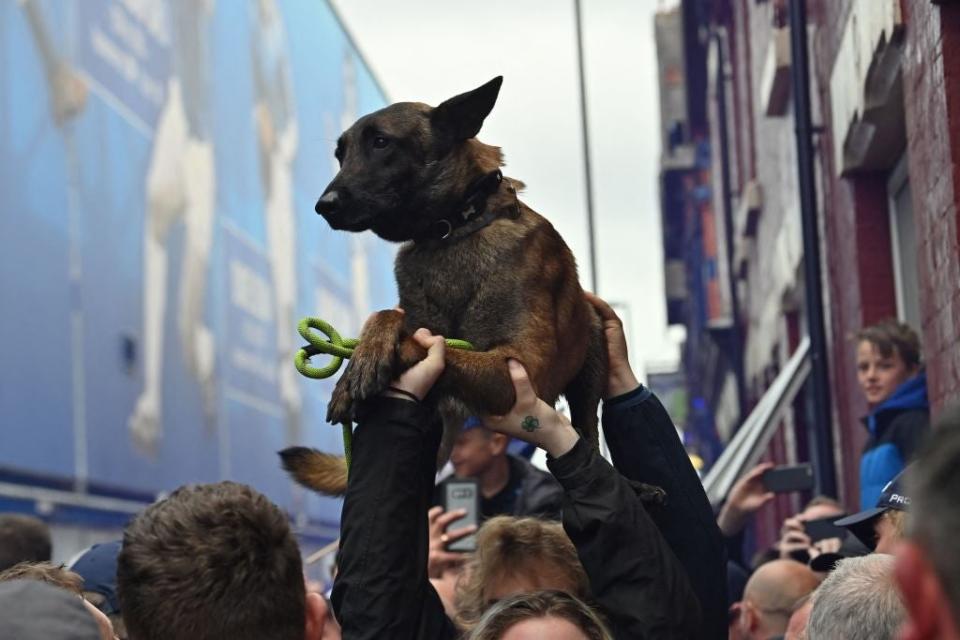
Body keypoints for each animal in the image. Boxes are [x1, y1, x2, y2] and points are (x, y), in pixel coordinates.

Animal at [280, 76, 608, 496]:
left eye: (381, 142)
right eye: (340, 154)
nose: (325, 205)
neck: (453, 231)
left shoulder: (523, 367)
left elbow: (426, 343)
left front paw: (353, 374)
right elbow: (389, 315)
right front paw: (368, 351)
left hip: (594, 345)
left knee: (588, 431)